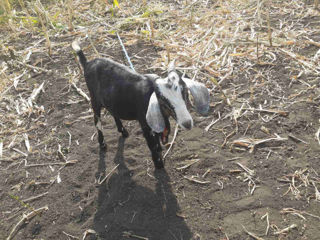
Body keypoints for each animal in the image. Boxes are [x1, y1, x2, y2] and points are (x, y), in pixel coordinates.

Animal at [71, 40, 210, 169]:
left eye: (185, 92)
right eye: (163, 100)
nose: (187, 123)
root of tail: (88, 63)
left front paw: (160, 152)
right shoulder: (145, 124)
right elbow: (152, 144)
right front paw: (159, 164)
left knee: (113, 111)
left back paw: (123, 131)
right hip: (94, 98)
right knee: (97, 119)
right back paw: (103, 144)